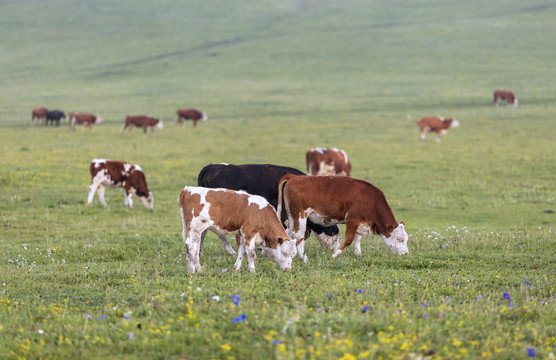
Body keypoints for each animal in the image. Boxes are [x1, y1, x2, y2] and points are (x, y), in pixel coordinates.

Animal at [276, 174, 408, 262]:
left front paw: (358, 254)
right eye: (399, 239)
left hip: (292, 217)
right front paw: (335, 254)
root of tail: (294, 177)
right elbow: (349, 239)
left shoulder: (361, 223)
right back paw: (305, 259)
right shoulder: (352, 220)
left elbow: (358, 238)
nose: (406, 254)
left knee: (289, 233)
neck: (371, 201)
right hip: (300, 216)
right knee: (299, 236)